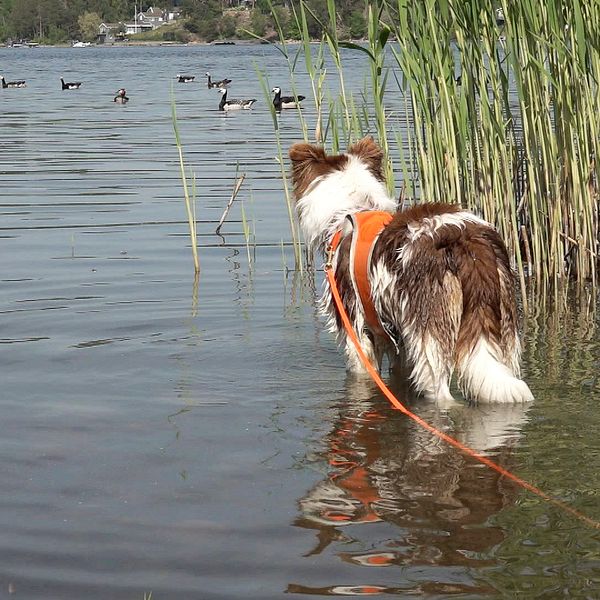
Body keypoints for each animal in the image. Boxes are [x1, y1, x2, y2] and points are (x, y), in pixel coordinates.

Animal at [288, 137, 532, 404]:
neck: (355, 208)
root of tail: (465, 238)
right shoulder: (398, 339)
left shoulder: (356, 329)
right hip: (503, 327)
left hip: (430, 339)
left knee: (441, 393)